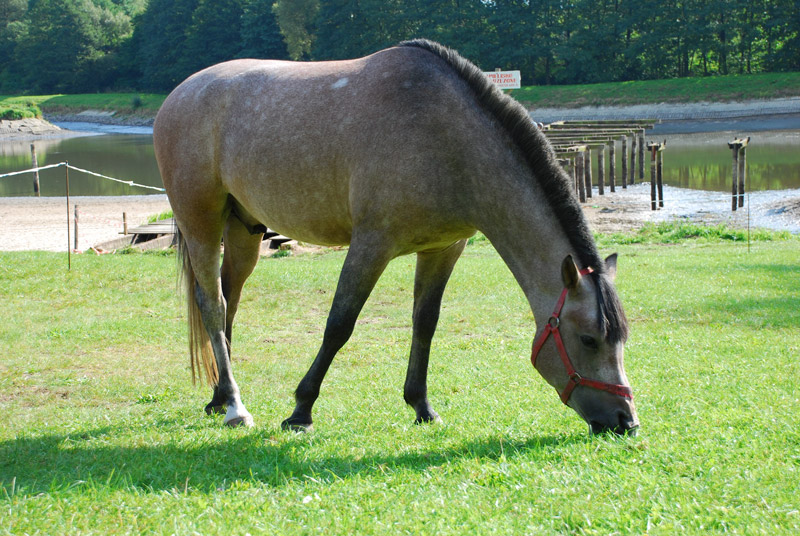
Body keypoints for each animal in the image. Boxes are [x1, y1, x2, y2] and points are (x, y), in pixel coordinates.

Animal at [153, 40, 640, 436]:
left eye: (621, 340)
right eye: (589, 340)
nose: (625, 421)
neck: (443, 135)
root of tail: (177, 96)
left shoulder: (444, 248)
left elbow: (425, 322)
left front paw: (421, 406)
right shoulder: (372, 244)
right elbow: (339, 324)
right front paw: (300, 411)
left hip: (244, 230)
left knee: (228, 300)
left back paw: (219, 396)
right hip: (201, 223)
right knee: (213, 305)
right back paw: (236, 407)